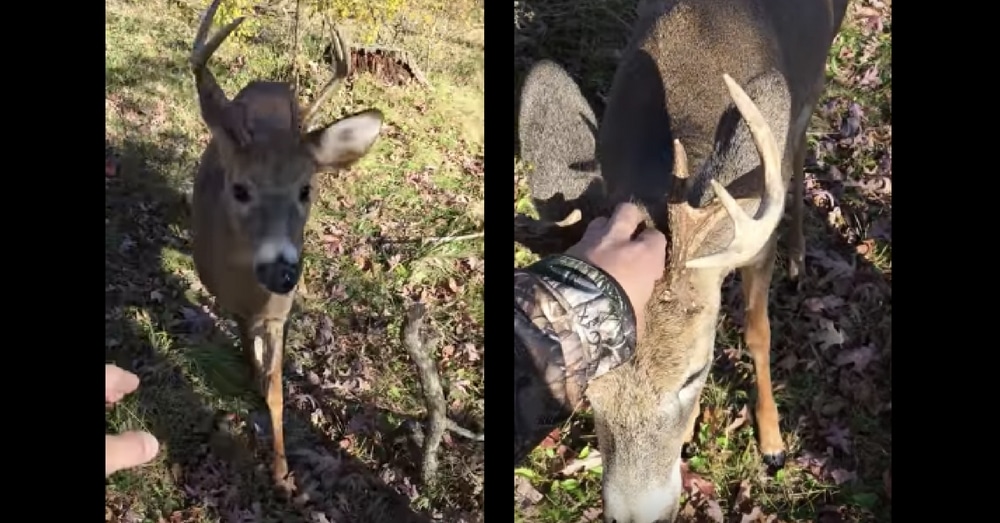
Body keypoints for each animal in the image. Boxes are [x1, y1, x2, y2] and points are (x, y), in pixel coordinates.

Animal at [187, 0, 382, 492]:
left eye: (306, 189)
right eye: (240, 189)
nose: (283, 271)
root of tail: (270, 83)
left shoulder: (280, 311)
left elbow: (278, 391)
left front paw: (282, 474)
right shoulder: (230, 300)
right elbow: (243, 341)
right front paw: (250, 371)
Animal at [516, 0, 852, 520]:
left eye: (694, 373)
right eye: (588, 390)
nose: (640, 514)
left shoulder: (756, 240)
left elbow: (758, 333)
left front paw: (773, 442)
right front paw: (692, 431)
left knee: (799, 147)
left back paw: (798, 253)